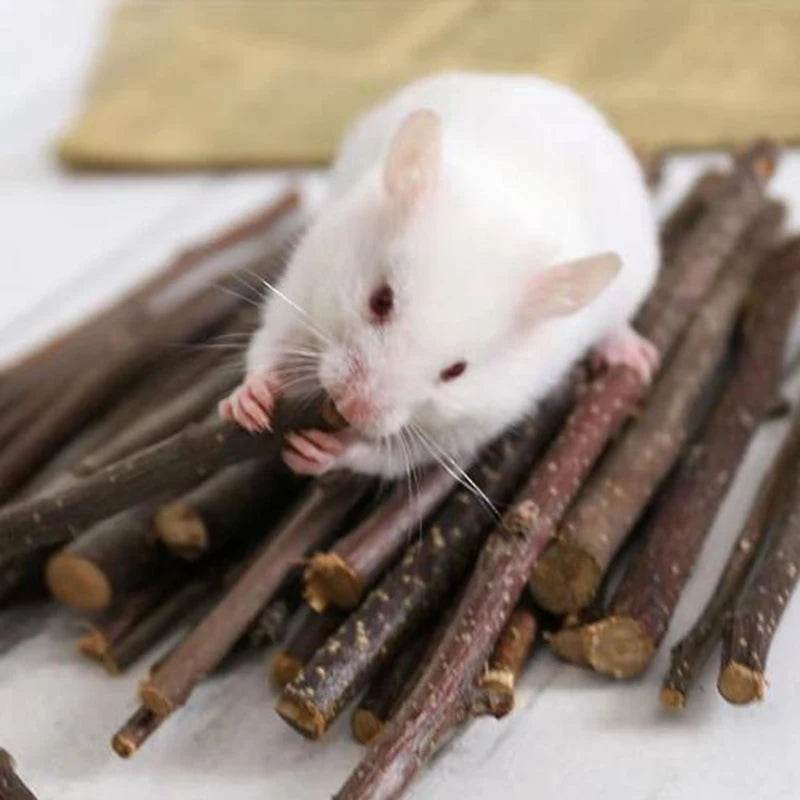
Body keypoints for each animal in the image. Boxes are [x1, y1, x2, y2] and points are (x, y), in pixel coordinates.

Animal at [220, 72, 659, 479]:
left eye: (456, 371)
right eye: (380, 300)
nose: (350, 408)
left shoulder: (468, 428)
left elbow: (396, 455)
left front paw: (317, 452)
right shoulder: (303, 283)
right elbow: (268, 343)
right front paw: (248, 404)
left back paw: (639, 358)